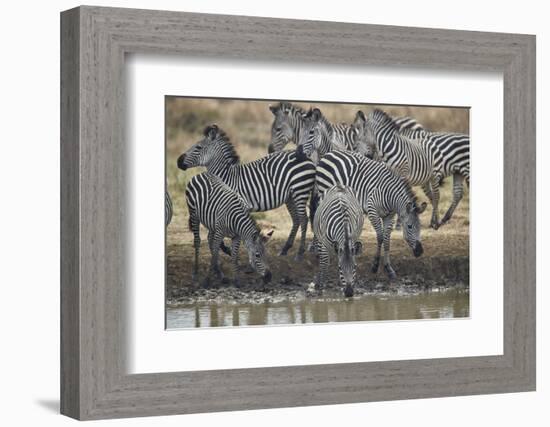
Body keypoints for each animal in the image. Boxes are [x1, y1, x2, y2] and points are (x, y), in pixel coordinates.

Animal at [179, 122, 316, 260]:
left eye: (198, 147)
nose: (178, 161)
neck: (225, 177)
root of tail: (308, 158)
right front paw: (226, 250)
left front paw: (229, 250)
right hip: (290, 196)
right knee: (296, 219)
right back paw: (285, 249)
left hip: (300, 190)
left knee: (304, 220)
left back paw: (299, 253)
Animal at [314, 150, 426, 280]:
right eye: (409, 226)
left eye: (420, 226)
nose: (420, 251)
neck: (390, 194)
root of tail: (329, 153)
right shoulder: (373, 212)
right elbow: (380, 237)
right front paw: (375, 265)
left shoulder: (389, 216)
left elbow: (387, 240)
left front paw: (388, 268)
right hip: (325, 192)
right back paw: (317, 249)